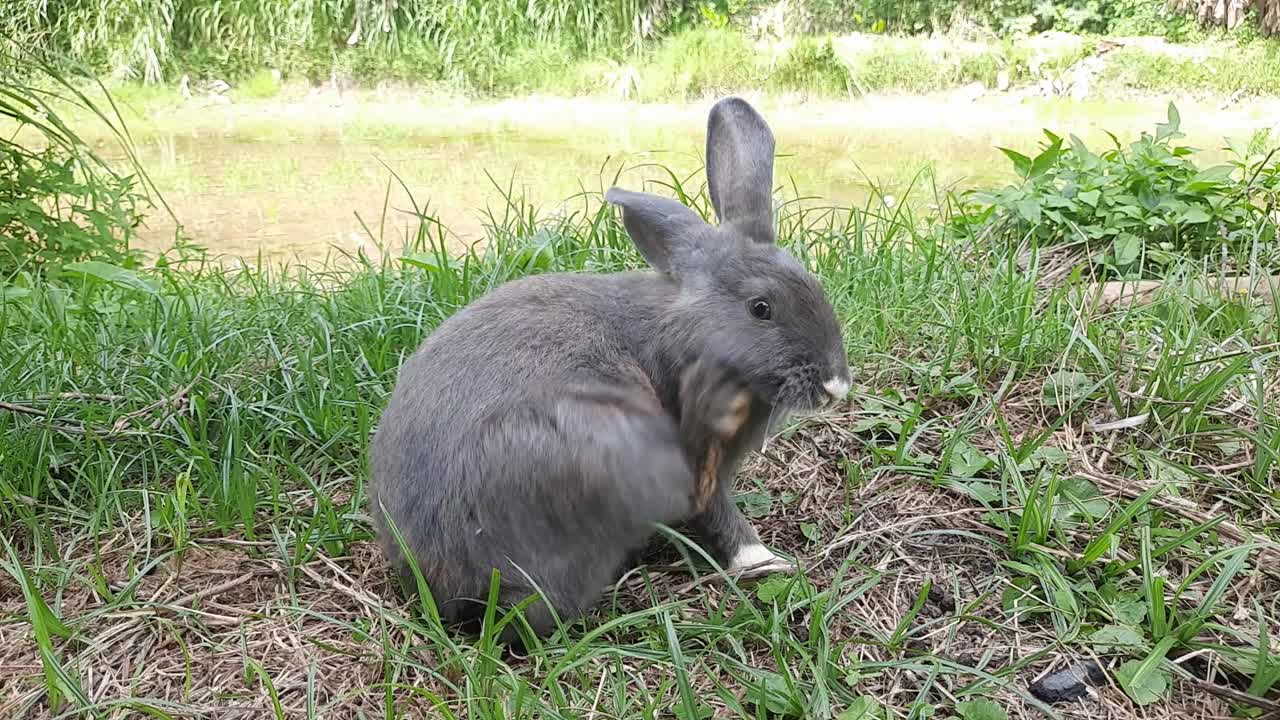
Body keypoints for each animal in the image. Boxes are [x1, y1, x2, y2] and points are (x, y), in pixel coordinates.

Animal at [368, 96, 850, 642]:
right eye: (760, 308)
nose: (837, 386)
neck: (686, 330)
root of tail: (455, 581)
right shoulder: (703, 464)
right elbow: (720, 517)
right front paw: (765, 562)